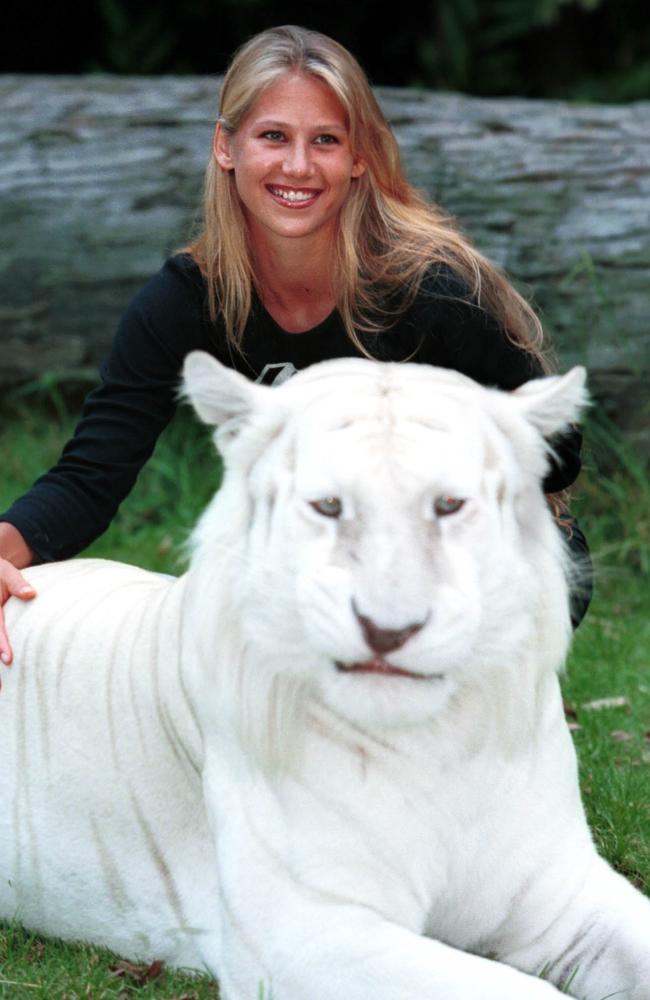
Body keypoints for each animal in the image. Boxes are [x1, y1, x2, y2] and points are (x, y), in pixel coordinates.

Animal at [1, 356, 648, 996]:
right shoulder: (303, 937)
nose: (388, 628)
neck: (440, 741)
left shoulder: (556, 892)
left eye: (448, 505)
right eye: (329, 507)